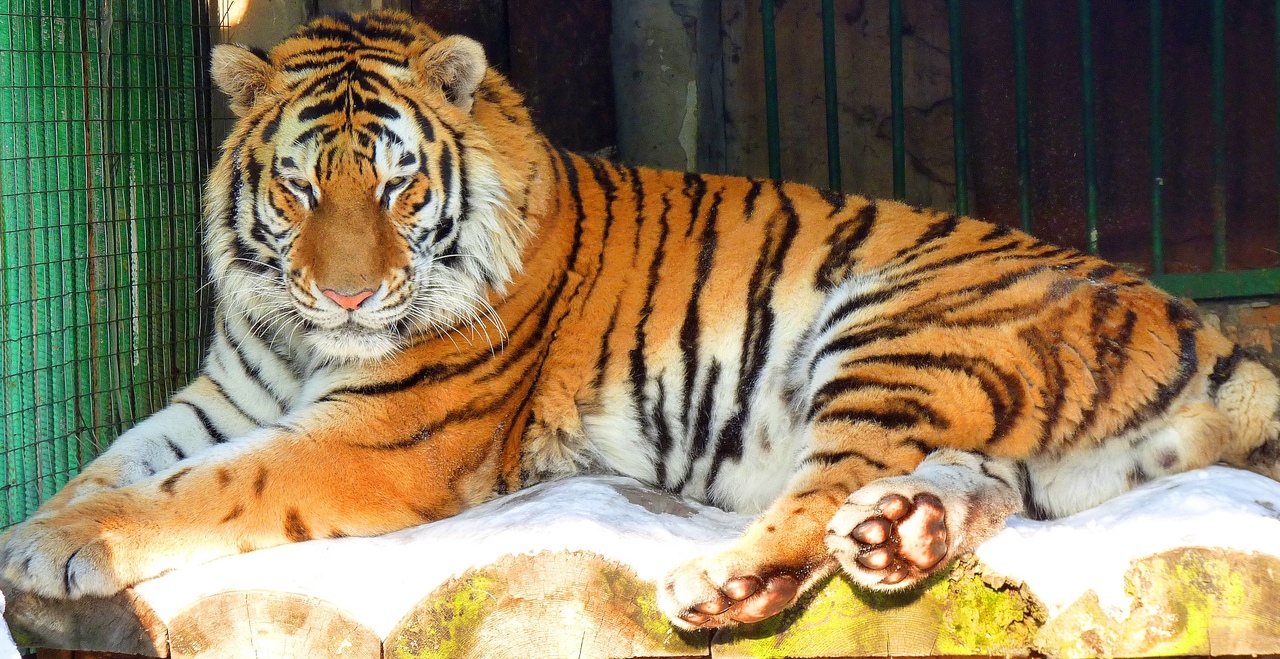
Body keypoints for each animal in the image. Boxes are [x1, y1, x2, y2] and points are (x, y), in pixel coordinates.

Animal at [3, 11, 1279, 631]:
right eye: (302, 189)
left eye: (400, 189)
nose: (352, 296)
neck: (298, 333)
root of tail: (1209, 331)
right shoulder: (224, 391)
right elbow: (121, 458)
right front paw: (47, 521)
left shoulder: (380, 436)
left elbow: (200, 488)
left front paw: (54, 546)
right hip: (1012, 448)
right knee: (946, 492)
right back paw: (894, 535)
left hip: (896, 327)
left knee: (815, 495)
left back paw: (720, 582)